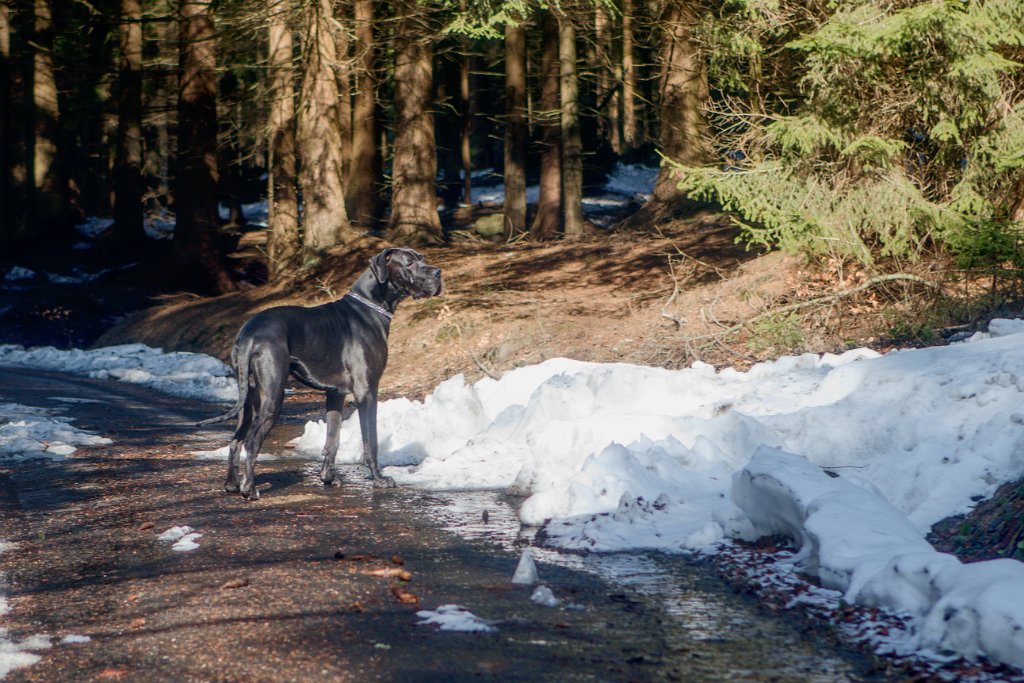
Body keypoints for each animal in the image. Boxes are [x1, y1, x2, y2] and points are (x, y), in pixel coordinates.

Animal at [197, 248, 442, 499]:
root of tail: (249, 333)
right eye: (409, 263)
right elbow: (370, 440)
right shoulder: (367, 391)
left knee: (236, 440)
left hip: (248, 398)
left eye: (421, 258)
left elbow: (333, 439)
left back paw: (232, 484)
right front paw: (379, 479)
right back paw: (250, 488)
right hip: (272, 396)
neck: (370, 306)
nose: (438, 273)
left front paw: (328, 477)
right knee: (252, 440)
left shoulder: (336, 394)